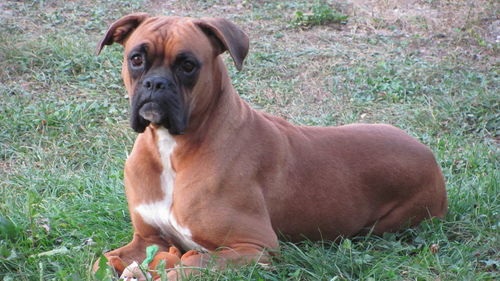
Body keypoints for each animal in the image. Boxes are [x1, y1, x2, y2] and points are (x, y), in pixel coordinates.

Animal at [95, 12, 448, 278]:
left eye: (188, 65)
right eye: (136, 59)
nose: (156, 84)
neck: (171, 148)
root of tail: (428, 155)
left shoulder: (255, 247)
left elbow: (188, 263)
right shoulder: (146, 238)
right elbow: (103, 258)